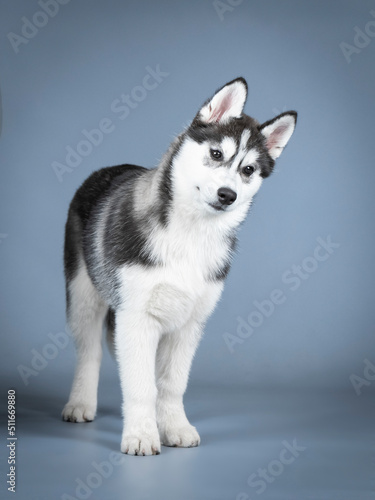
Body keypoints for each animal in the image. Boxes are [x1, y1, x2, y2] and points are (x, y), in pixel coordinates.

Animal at [61, 77, 296, 454]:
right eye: (216, 154)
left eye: (248, 170)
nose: (228, 195)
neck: (190, 234)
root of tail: (108, 169)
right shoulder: (136, 317)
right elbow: (141, 384)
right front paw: (141, 434)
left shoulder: (189, 325)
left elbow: (171, 383)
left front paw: (173, 426)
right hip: (84, 296)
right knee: (89, 352)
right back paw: (81, 403)